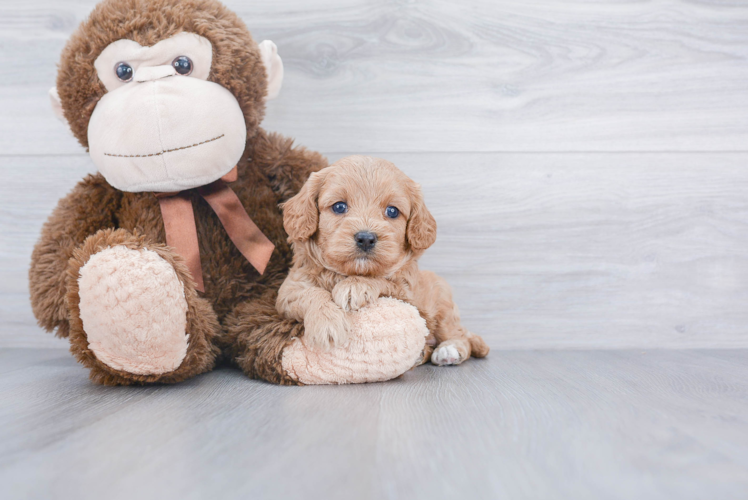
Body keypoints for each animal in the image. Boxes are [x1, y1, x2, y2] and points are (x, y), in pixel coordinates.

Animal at [278, 154, 488, 366]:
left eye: (392, 211)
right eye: (339, 206)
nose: (365, 238)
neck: (349, 272)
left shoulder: (408, 295)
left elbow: (383, 280)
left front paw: (354, 286)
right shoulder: (288, 291)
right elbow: (311, 293)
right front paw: (327, 324)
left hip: (443, 301)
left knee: (460, 336)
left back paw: (449, 350)